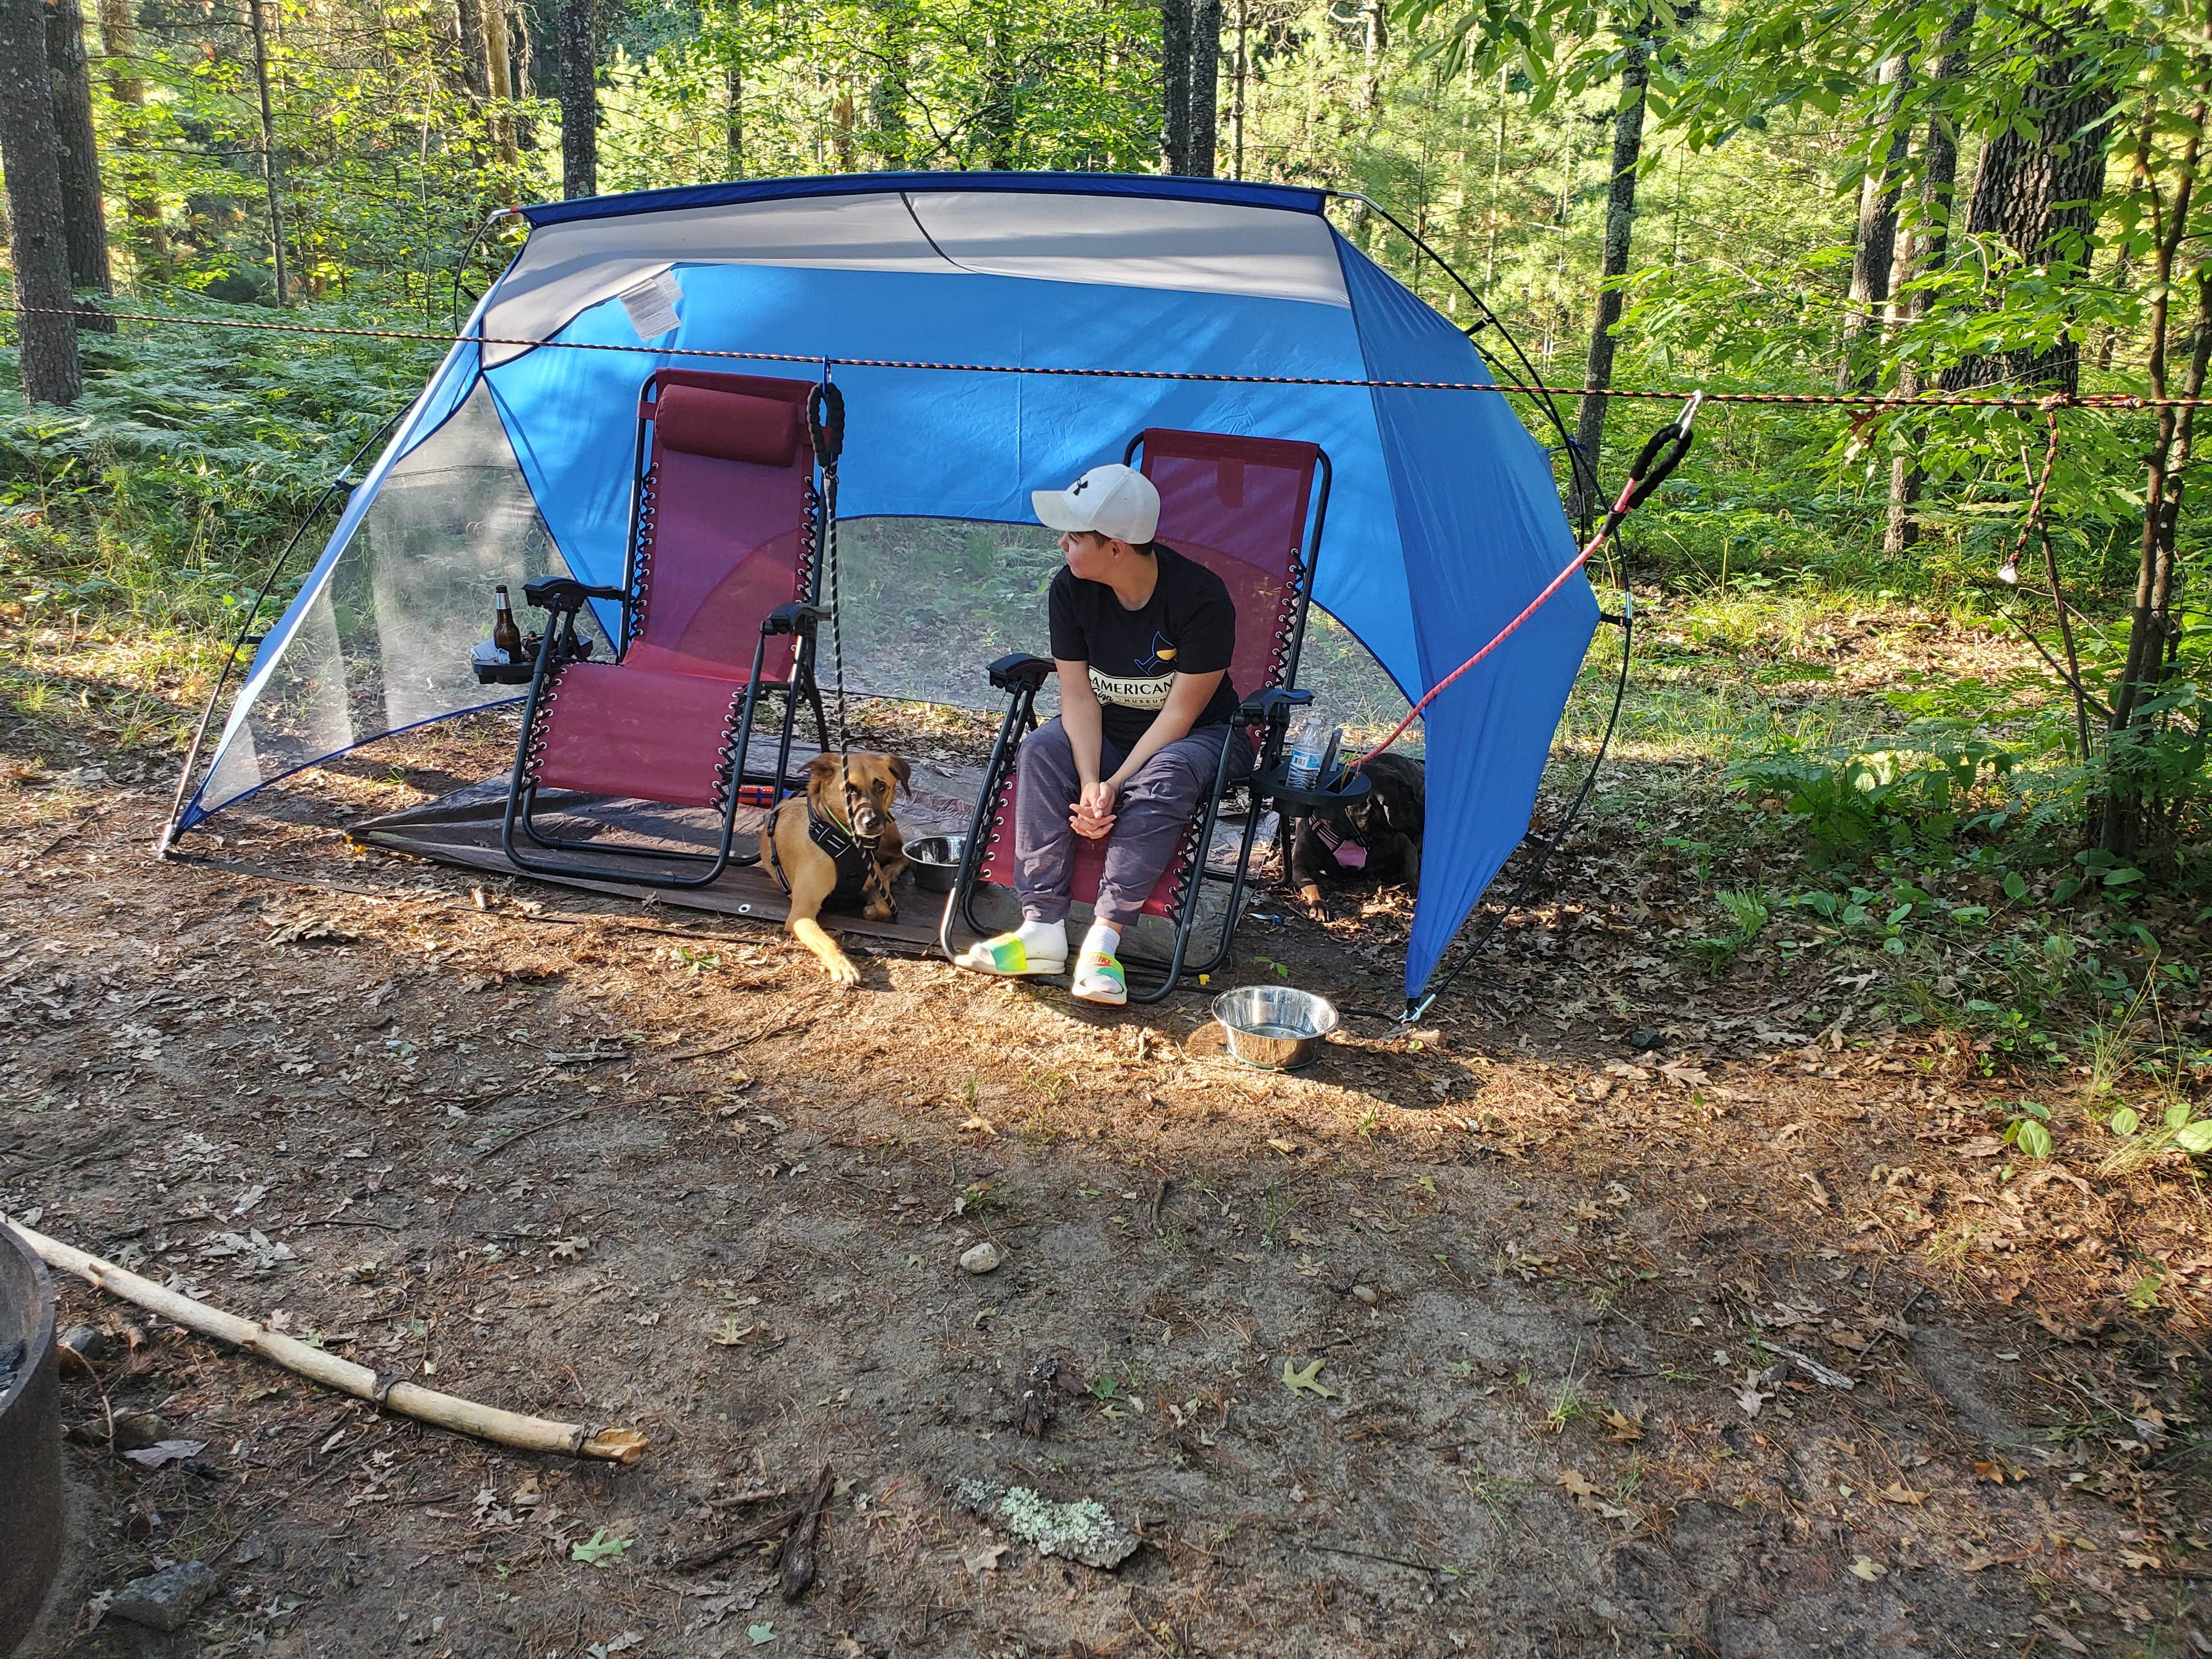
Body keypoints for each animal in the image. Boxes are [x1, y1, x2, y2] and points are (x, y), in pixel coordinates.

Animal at [756, 752, 902, 986]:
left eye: (881, 787)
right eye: (849, 790)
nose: (871, 822)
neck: (848, 844)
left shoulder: (878, 884)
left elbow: (886, 905)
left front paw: (872, 910)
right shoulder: (801, 914)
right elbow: (829, 941)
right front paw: (844, 966)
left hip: (889, 832)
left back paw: (893, 870)